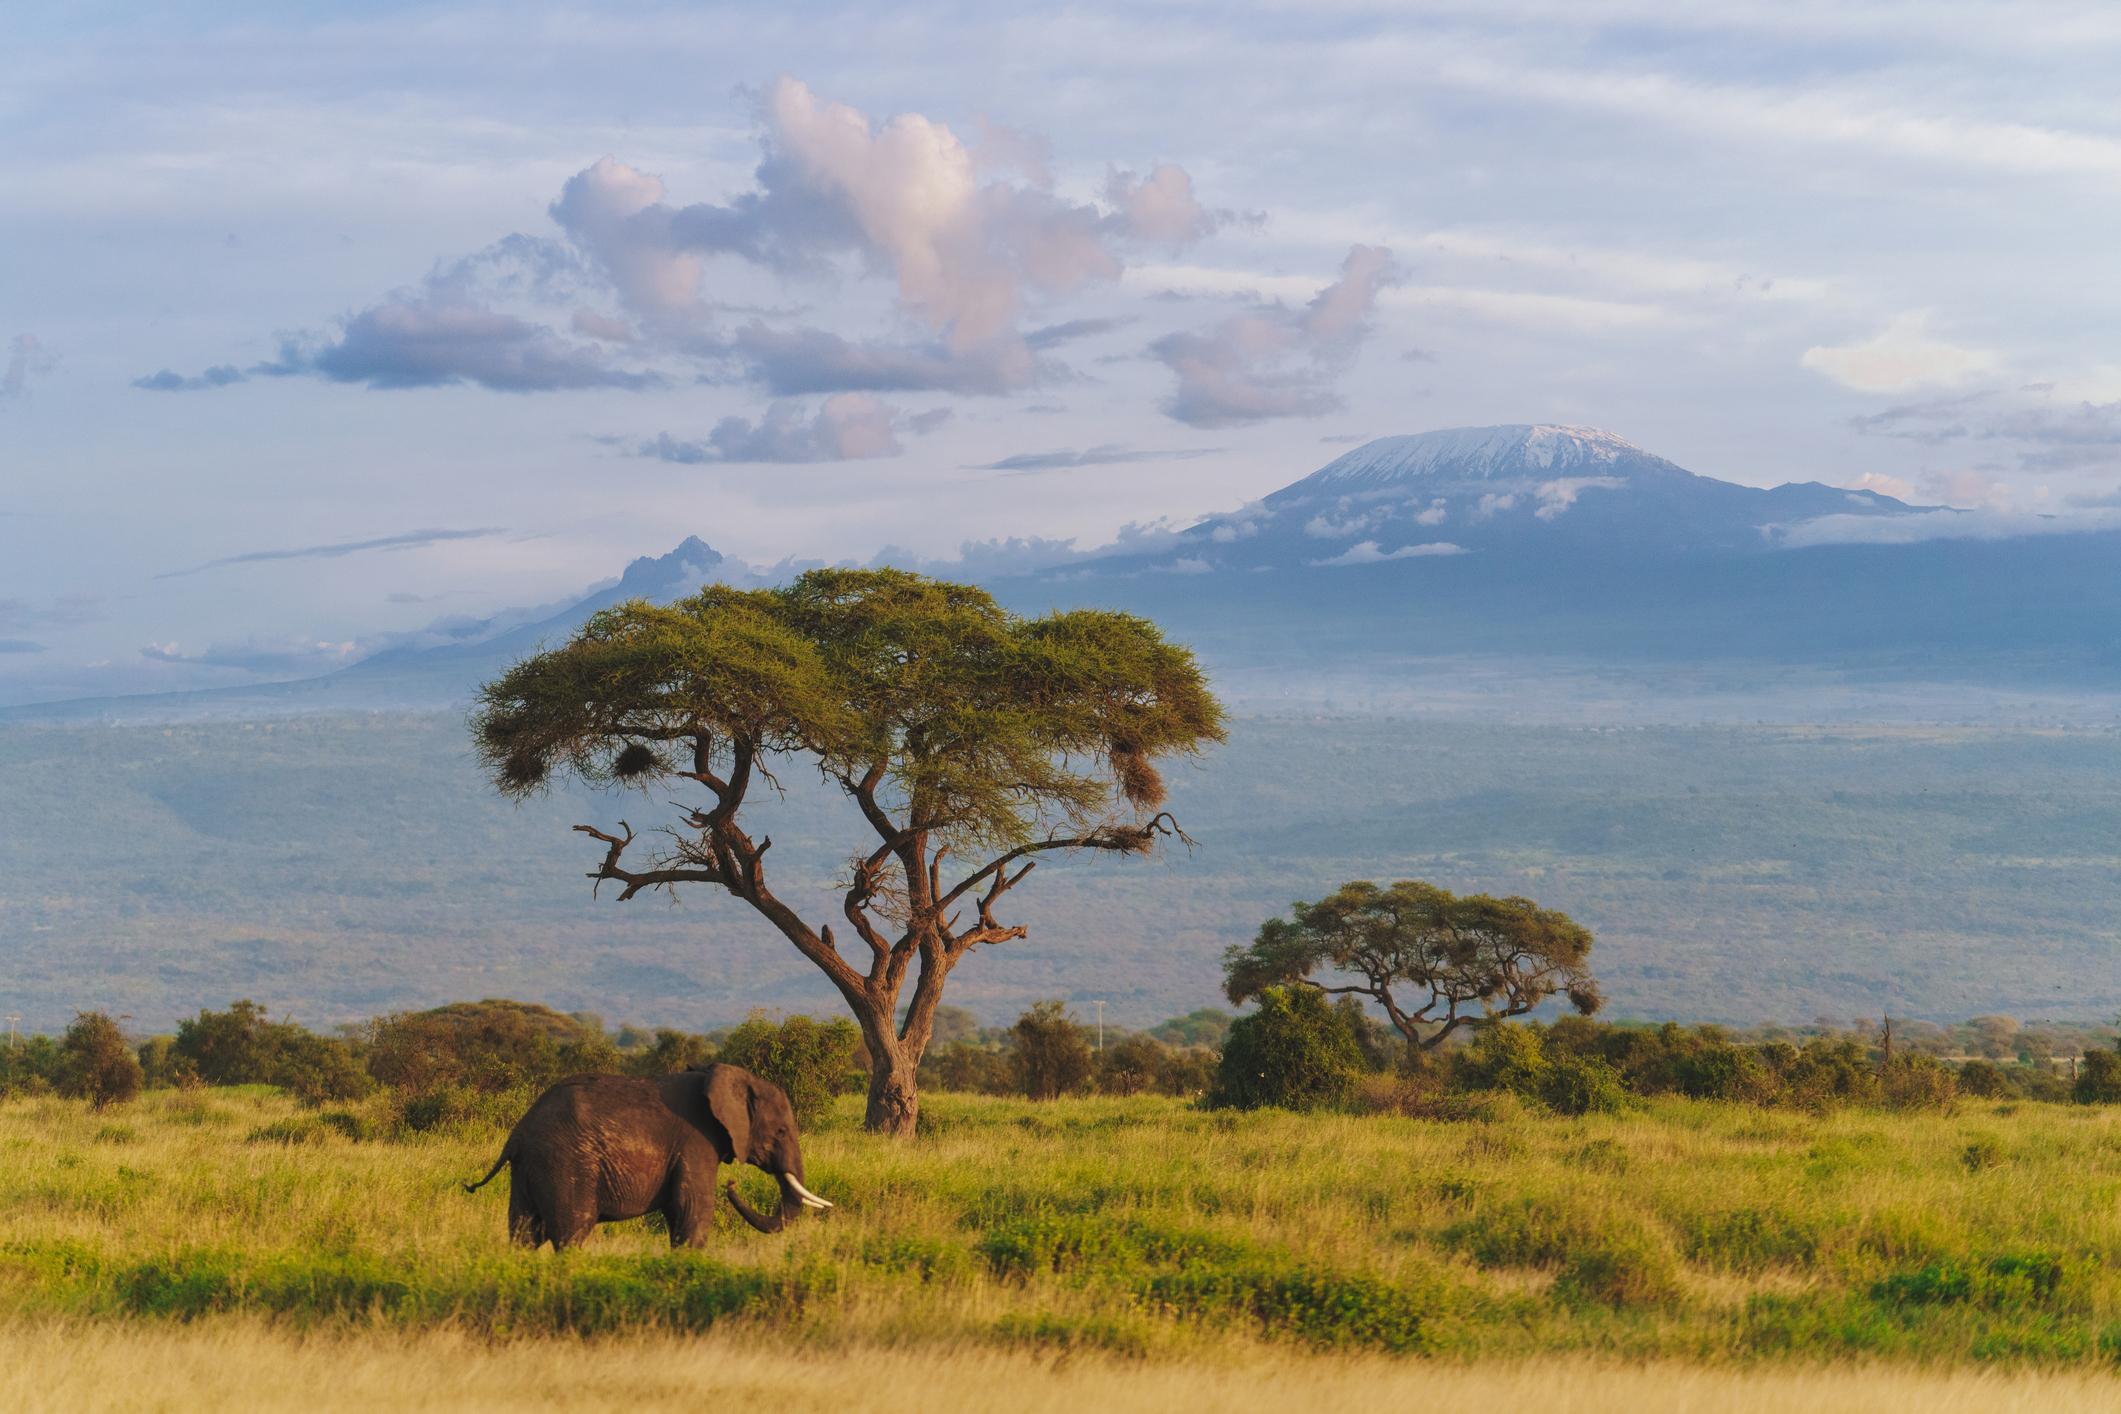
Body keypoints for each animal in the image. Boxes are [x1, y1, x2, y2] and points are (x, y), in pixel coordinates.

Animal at [462, 1063, 832, 1250]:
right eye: (781, 1132)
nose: (731, 1184)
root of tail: (517, 1135)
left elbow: (677, 1212)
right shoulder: (696, 1140)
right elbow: (693, 1209)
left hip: (529, 1169)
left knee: (523, 1234)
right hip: (564, 1164)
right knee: (571, 1232)